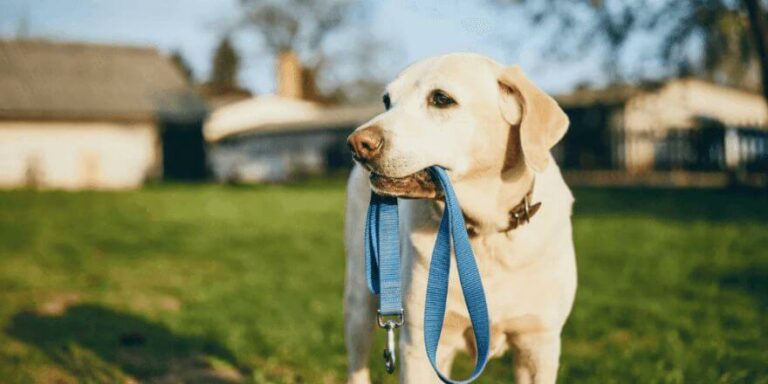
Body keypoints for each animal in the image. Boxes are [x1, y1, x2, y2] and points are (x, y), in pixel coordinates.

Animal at [344, 53, 576, 384]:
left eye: (441, 99)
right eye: (387, 101)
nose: (356, 144)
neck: (484, 233)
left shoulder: (538, 343)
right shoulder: (422, 344)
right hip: (361, 298)